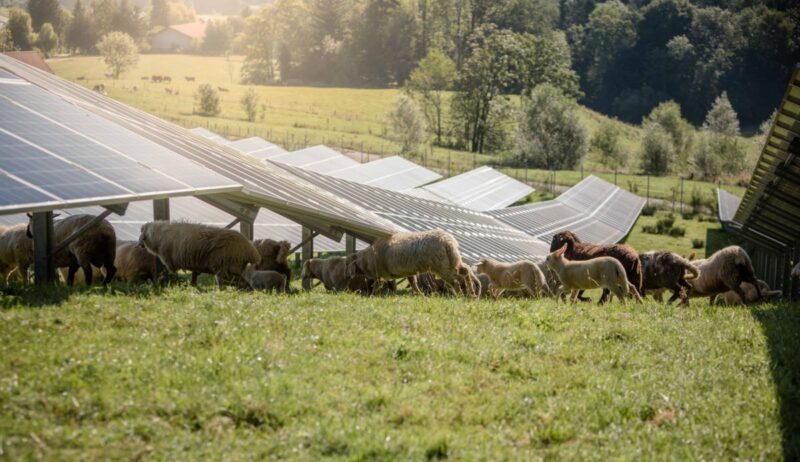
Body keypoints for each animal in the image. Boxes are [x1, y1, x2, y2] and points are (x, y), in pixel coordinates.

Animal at [346, 229, 478, 298]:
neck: (366, 260)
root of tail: (448, 242)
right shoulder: (408, 272)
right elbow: (413, 283)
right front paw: (420, 295)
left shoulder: (379, 274)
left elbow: (377, 285)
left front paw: (372, 295)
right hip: (453, 261)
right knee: (466, 271)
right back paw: (471, 292)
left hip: (442, 266)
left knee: (455, 281)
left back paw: (459, 295)